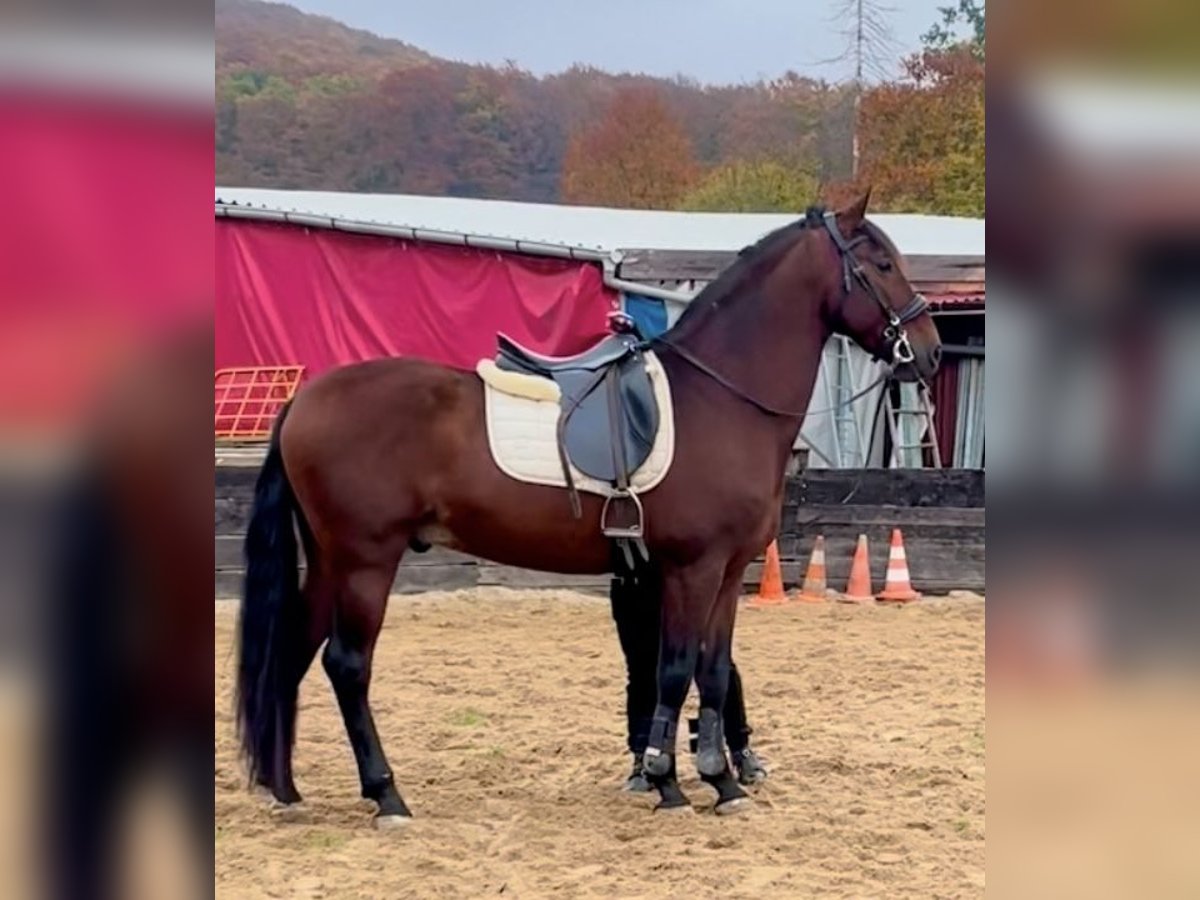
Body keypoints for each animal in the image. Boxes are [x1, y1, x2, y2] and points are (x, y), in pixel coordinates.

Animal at [234, 194, 940, 830]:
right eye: (880, 263)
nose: (929, 351)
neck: (719, 398)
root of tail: (304, 400)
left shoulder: (726, 573)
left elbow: (712, 671)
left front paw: (720, 781)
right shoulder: (691, 568)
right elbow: (674, 669)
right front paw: (669, 780)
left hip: (331, 562)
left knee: (295, 653)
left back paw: (285, 788)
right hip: (365, 561)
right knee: (347, 665)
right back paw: (386, 797)